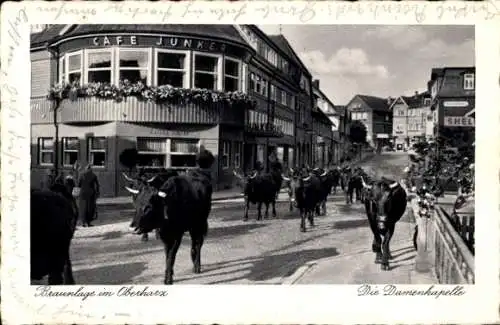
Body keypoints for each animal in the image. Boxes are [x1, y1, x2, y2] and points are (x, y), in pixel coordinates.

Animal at [134, 149, 214, 284]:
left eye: (148, 207)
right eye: (137, 203)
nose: (133, 226)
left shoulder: (178, 234)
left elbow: (171, 256)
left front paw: (168, 278)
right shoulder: (164, 235)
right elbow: (167, 255)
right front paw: (168, 274)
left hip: (200, 223)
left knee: (198, 243)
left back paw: (197, 266)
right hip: (193, 225)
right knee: (194, 242)